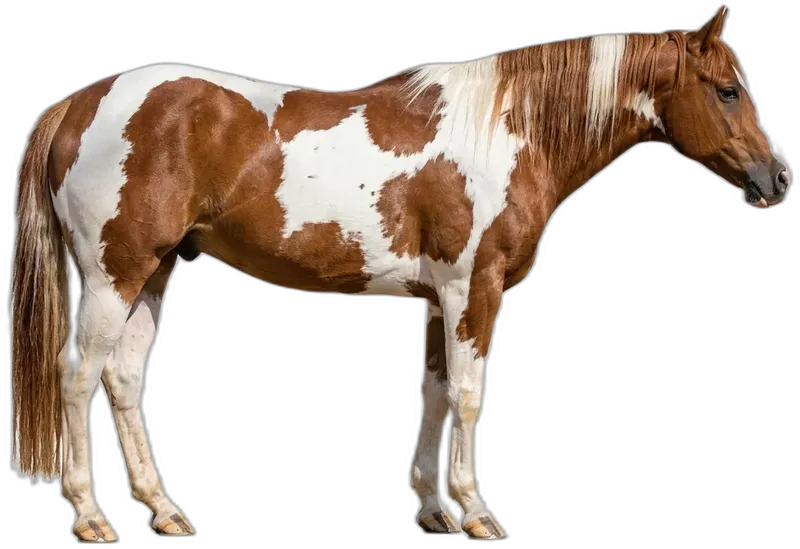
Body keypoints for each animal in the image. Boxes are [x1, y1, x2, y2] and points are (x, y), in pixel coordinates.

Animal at [9, 5, 791, 542]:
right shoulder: (474, 289)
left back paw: (163, 509)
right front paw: (476, 512)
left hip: (156, 270)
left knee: (123, 378)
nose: (778, 178)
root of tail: (80, 104)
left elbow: (436, 393)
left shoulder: (439, 298)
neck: (507, 130)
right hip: (113, 274)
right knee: (78, 375)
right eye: (727, 90)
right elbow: (470, 397)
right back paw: (90, 516)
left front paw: (433, 508)